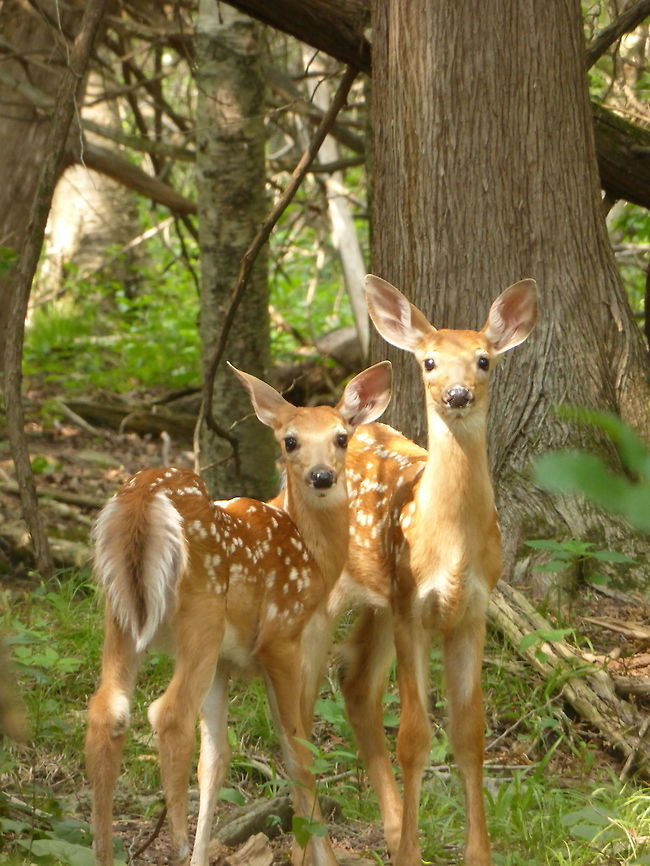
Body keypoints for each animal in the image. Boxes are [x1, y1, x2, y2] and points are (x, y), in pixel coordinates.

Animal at [85, 360, 392, 866]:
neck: (312, 553)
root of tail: (141, 502)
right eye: (290, 441)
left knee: (107, 711)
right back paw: (174, 844)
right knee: (168, 715)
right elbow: (297, 750)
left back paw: (102, 850)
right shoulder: (281, 638)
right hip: (201, 615)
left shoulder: (225, 665)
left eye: (342, 437)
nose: (322, 476)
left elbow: (217, 761)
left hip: (121, 618)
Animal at [327, 275, 537, 866]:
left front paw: (477, 855)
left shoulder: (471, 611)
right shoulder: (411, 606)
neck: (449, 549)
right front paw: (410, 856)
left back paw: (392, 825)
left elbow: (469, 735)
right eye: (428, 361)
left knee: (355, 681)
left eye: (484, 360)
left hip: (377, 600)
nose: (457, 394)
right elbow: (416, 737)